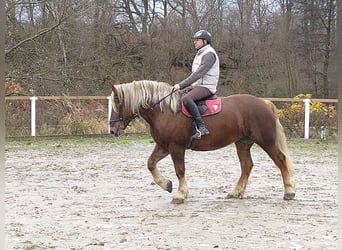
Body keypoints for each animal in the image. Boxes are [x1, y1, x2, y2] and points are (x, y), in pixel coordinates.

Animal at [109, 81, 294, 204]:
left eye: (117, 103)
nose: (112, 130)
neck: (165, 111)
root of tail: (264, 102)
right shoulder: (163, 146)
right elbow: (150, 163)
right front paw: (167, 185)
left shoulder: (176, 147)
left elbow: (180, 170)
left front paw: (180, 194)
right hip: (242, 143)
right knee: (246, 166)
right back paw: (235, 192)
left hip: (266, 141)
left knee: (280, 160)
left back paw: (289, 191)